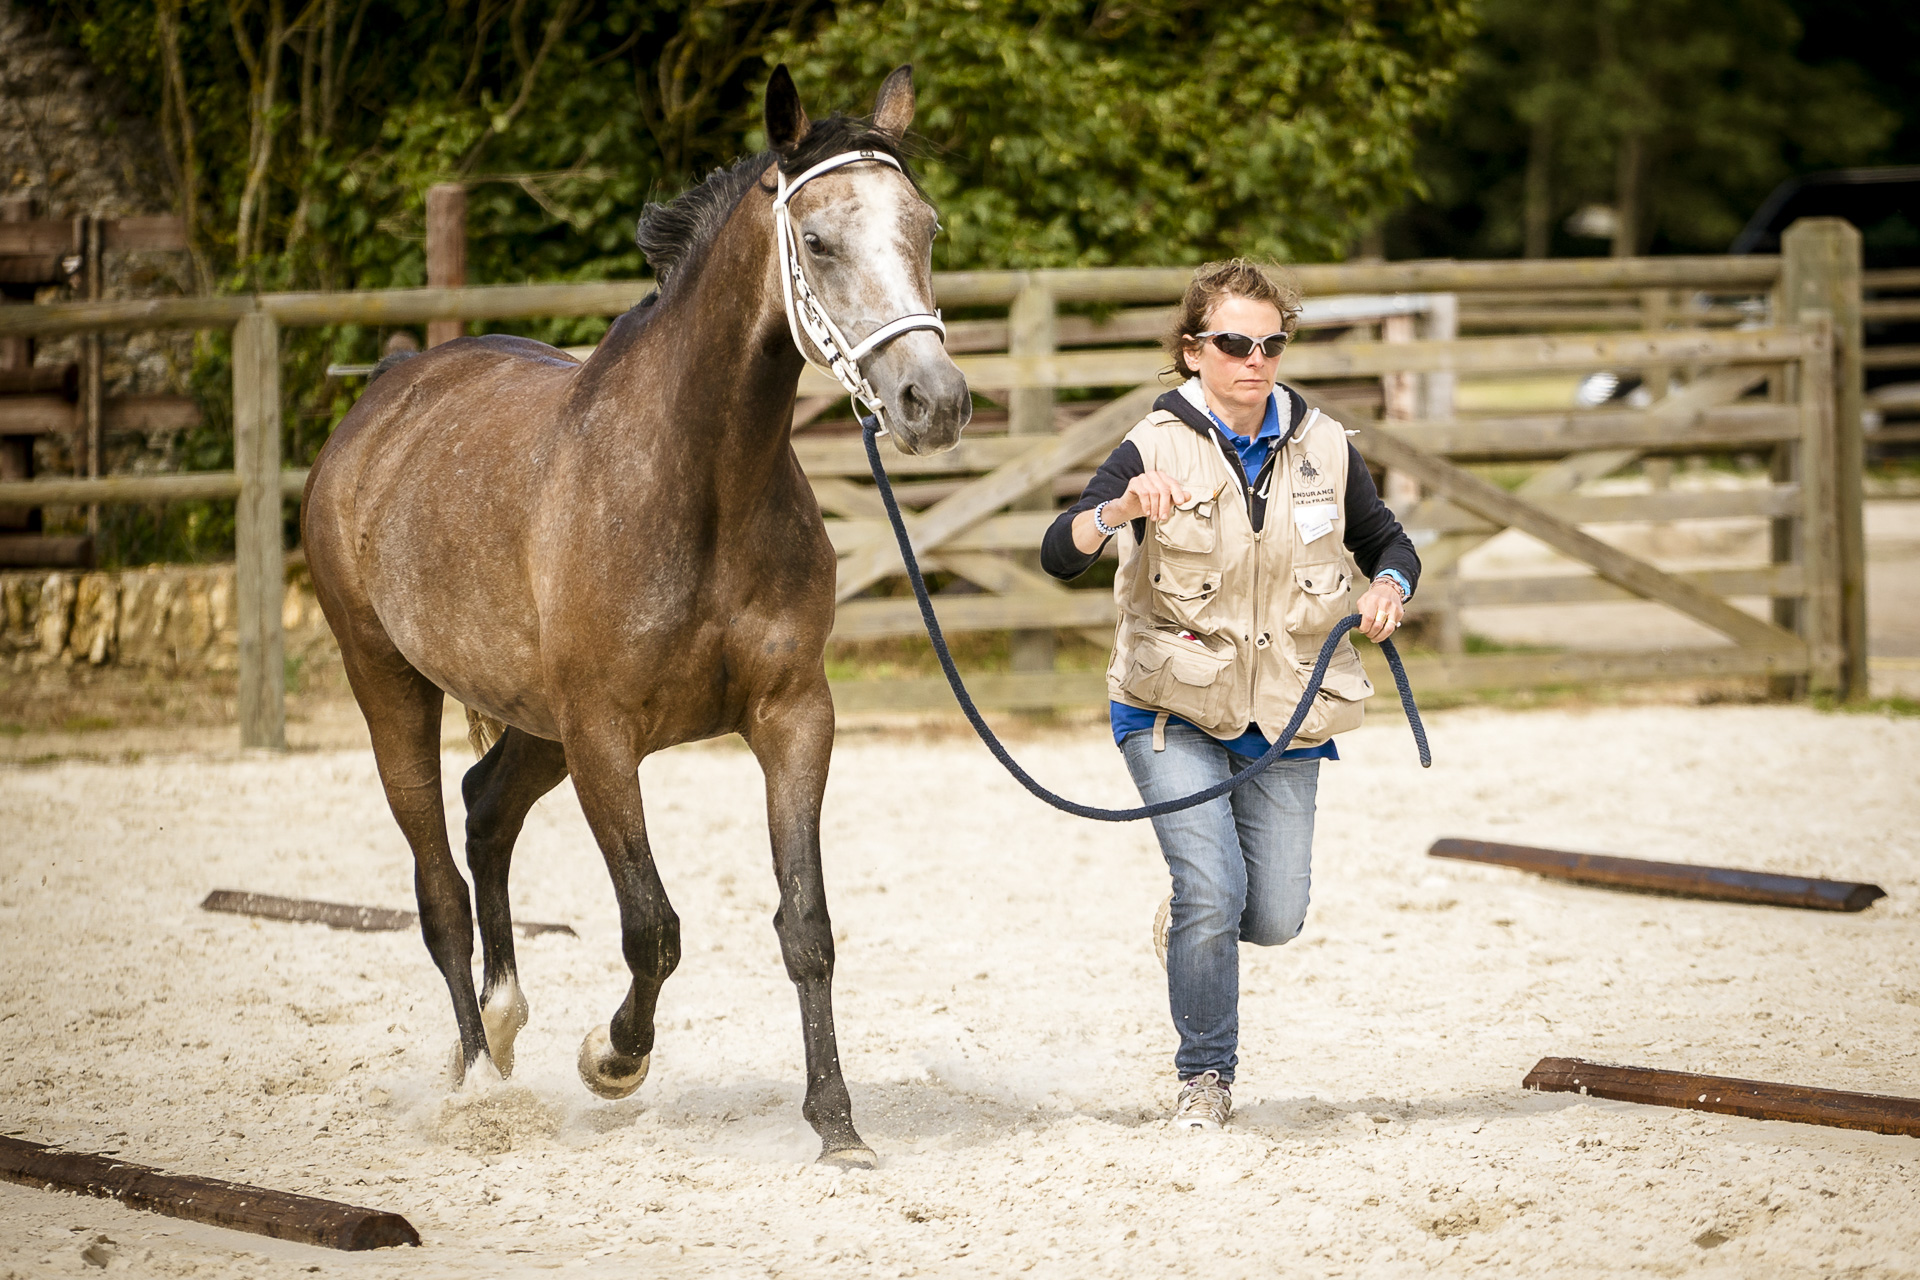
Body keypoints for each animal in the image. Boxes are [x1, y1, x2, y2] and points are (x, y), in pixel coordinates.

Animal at [305, 70, 967, 1174]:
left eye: (925, 227)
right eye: (818, 240)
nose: (934, 401)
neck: (698, 479)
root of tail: (386, 395)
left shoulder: (793, 716)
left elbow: (807, 925)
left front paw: (836, 1125)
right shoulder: (606, 735)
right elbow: (652, 926)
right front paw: (612, 1058)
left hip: (535, 719)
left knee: (486, 809)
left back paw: (502, 1025)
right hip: (392, 685)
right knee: (439, 885)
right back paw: (480, 1085)